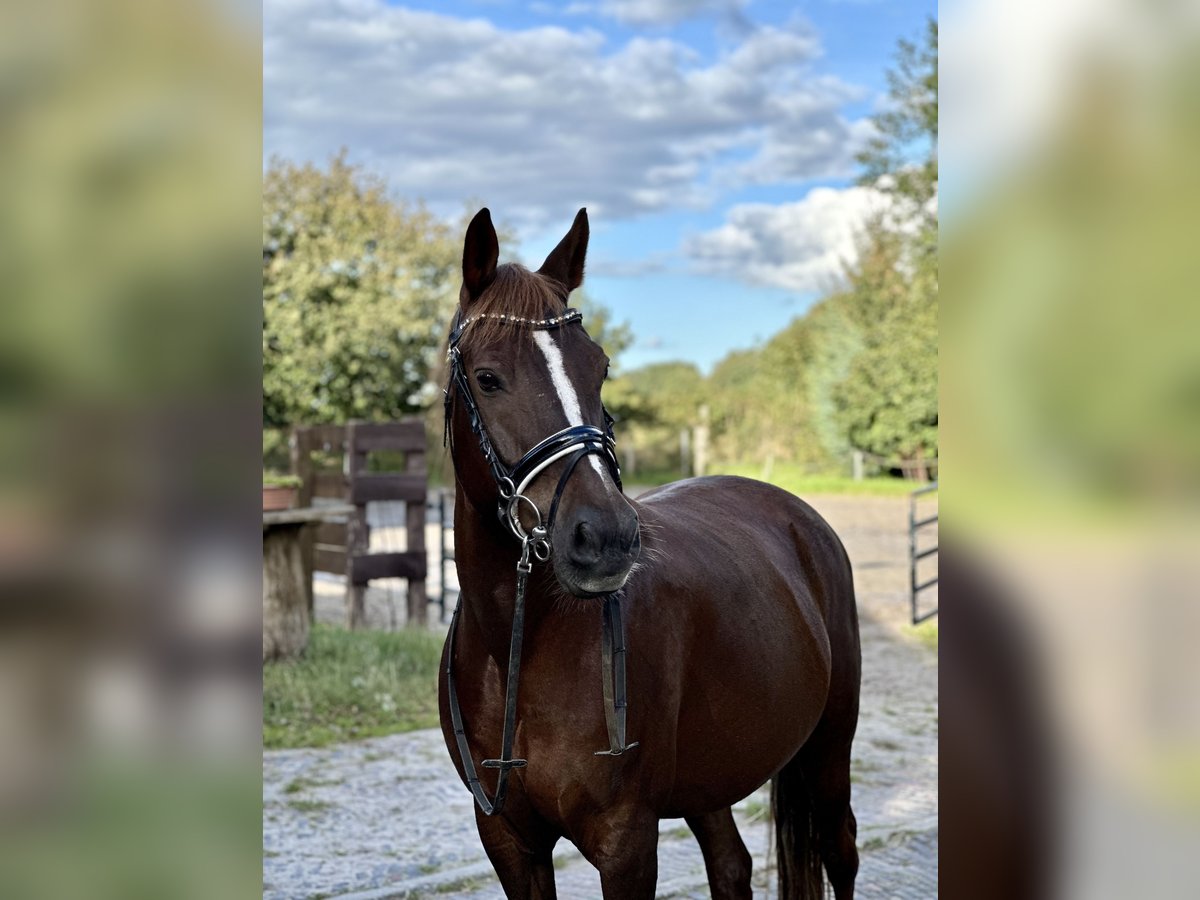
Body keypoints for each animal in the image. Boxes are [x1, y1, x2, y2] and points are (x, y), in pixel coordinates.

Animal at [441, 207, 864, 897]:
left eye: (600, 368)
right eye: (488, 377)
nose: (606, 536)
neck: (520, 651)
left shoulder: (627, 846)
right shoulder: (509, 845)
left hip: (829, 749)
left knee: (840, 851)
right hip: (711, 775)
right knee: (731, 864)